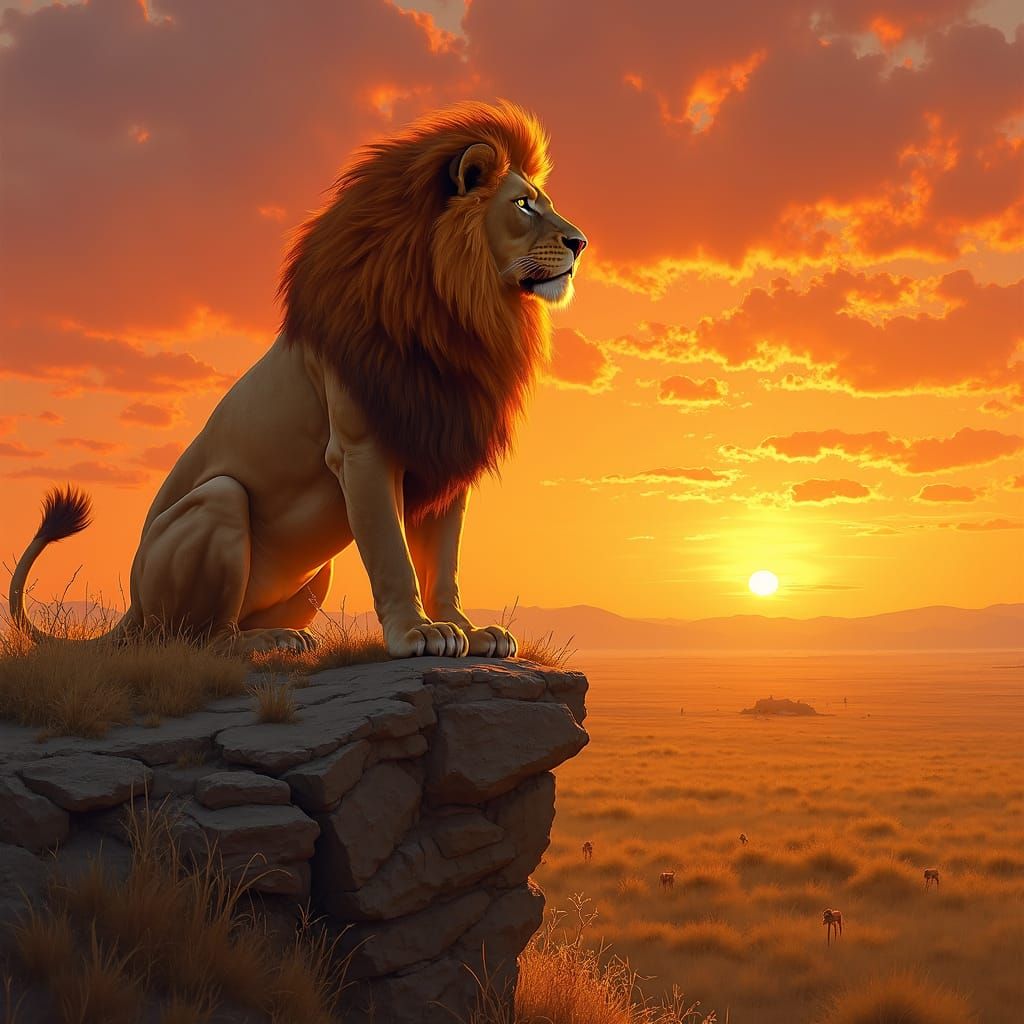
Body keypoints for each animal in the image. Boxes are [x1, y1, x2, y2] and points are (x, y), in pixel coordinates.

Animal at [9, 101, 587, 659]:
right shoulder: (360, 449)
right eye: (523, 205)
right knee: (198, 638)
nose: (580, 242)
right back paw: (266, 644)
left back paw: (283, 634)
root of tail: (131, 606)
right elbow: (392, 555)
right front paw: (418, 633)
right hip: (217, 503)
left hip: (317, 572)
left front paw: (468, 629)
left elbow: (443, 563)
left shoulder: (444, 444)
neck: (459, 312)